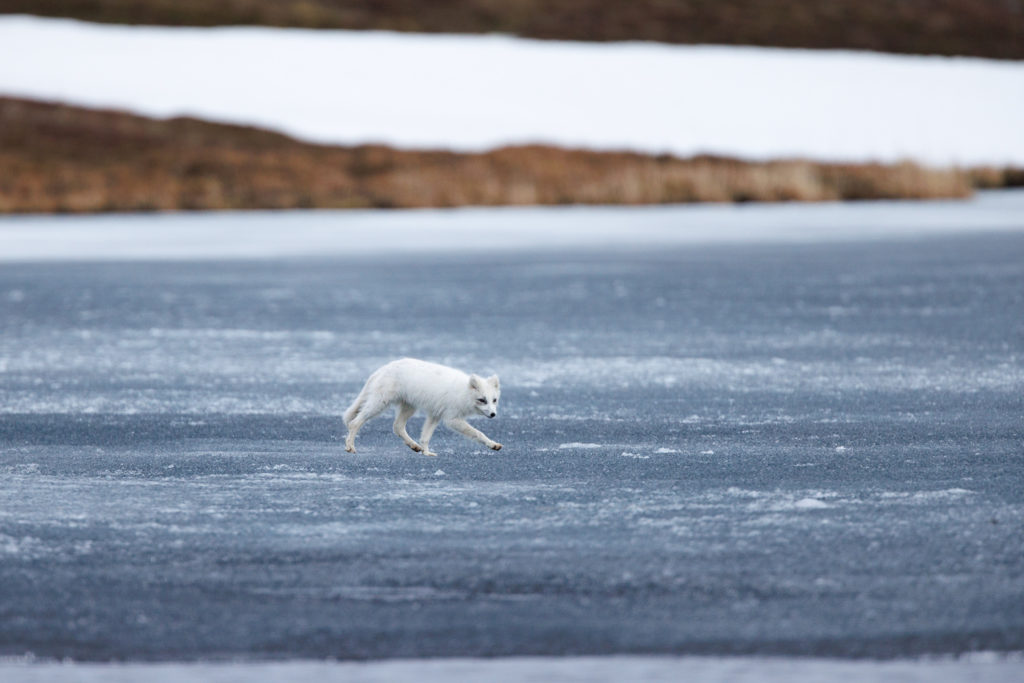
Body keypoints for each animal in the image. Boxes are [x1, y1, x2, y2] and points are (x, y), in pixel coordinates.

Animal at [344, 358, 503, 458]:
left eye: (494, 400)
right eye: (482, 400)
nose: (493, 414)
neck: (464, 392)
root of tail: (383, 368)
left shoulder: (435, 414)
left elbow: (425, 437)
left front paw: (426, 453)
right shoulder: (451, 419)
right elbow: (478, 433)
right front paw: (491, 444)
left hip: (409, 407)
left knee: (397, 427)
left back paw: (414, 446)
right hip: (380, 404)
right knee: (354, 423)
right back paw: (350, 447)